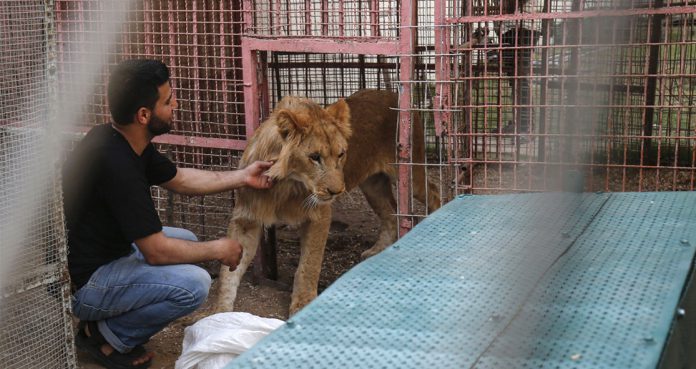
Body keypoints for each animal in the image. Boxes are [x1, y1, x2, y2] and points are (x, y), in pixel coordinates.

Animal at [218, 88, 440, 314]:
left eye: (341, 154)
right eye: (315, 157)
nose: (337, 191)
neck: (285, 184)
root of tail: (394, 94)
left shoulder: (319, 214)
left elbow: (309, 264)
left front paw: (302, 304)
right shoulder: (247, 217)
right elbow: (227, 274)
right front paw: (216, 311)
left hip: (410, 174)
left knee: (433, 192)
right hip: (373, 185)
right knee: (390, 213)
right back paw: (377, 252)